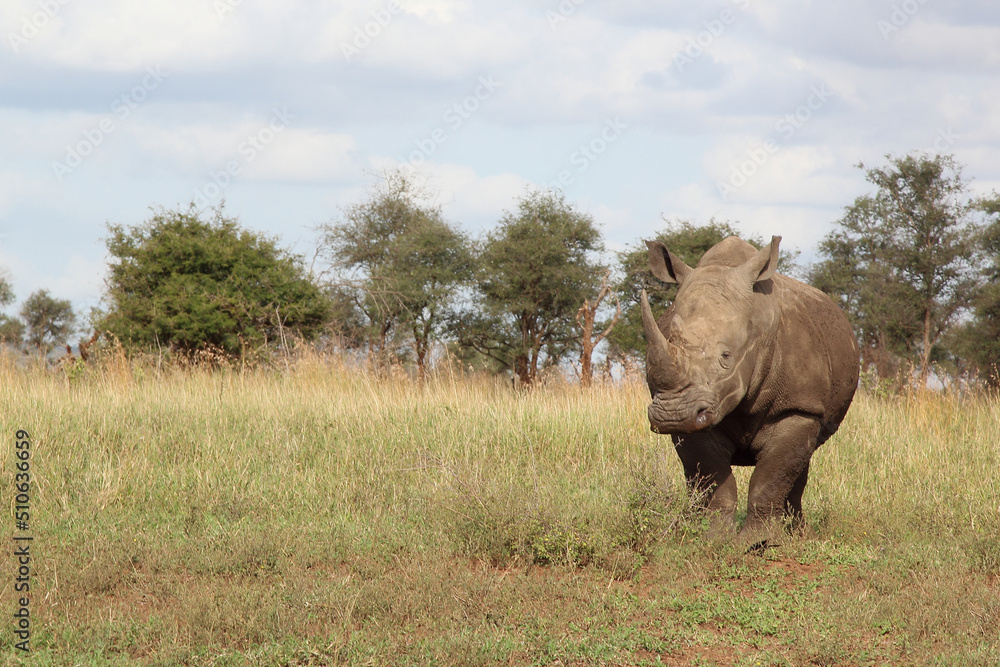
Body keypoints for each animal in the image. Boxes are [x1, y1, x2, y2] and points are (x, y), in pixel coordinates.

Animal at [640, 235, 859, 540]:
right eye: (668, 342)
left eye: (726, 356)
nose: (672, 415)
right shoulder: (697, 415)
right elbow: (711, 476)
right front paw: (713, 537)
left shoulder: (799, 408)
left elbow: (771, 477)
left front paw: (761, 541)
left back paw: (799, 535)